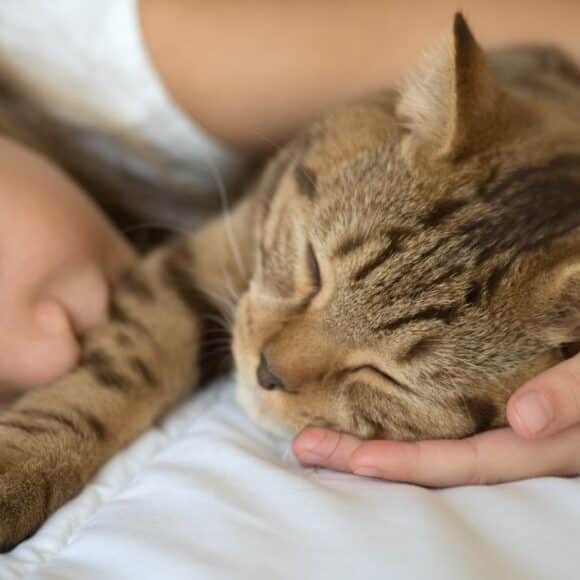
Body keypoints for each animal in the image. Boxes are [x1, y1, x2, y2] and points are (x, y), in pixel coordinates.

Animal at [0, 12, 580, 548]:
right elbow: (118, 374)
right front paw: (22, 465)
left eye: (386, 377)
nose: (267, 372)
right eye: (313, 266)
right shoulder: (206, 253)